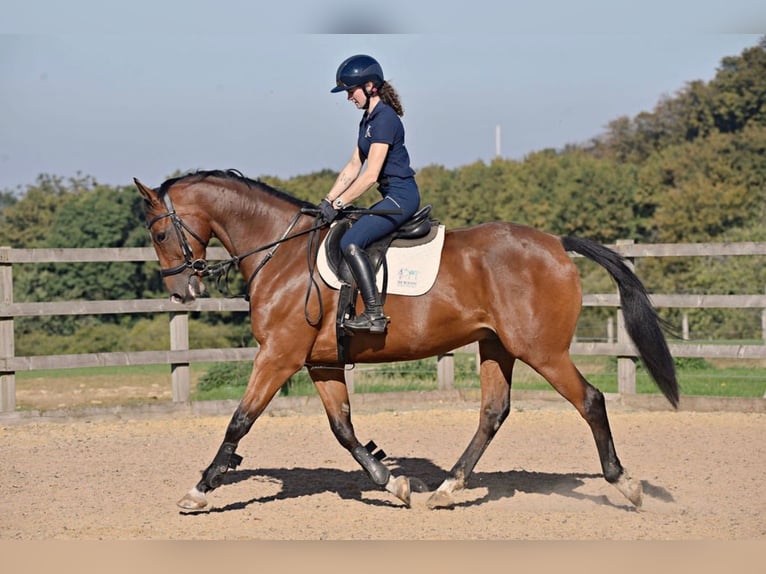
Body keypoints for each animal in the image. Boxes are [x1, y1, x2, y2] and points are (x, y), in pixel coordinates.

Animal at [134, 168, 678, 511]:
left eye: (159, 235)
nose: (183, 291)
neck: (282, 254)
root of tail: (556, 244)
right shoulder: (320, 363)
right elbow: (344, 430)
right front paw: (392, 483)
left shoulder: (279, 356)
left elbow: (239, 422)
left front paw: (200, 490)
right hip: (496, 347)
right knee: (492, 412)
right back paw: (446, 488)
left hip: (541, 350)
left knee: (590, 400)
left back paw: (626, 486)